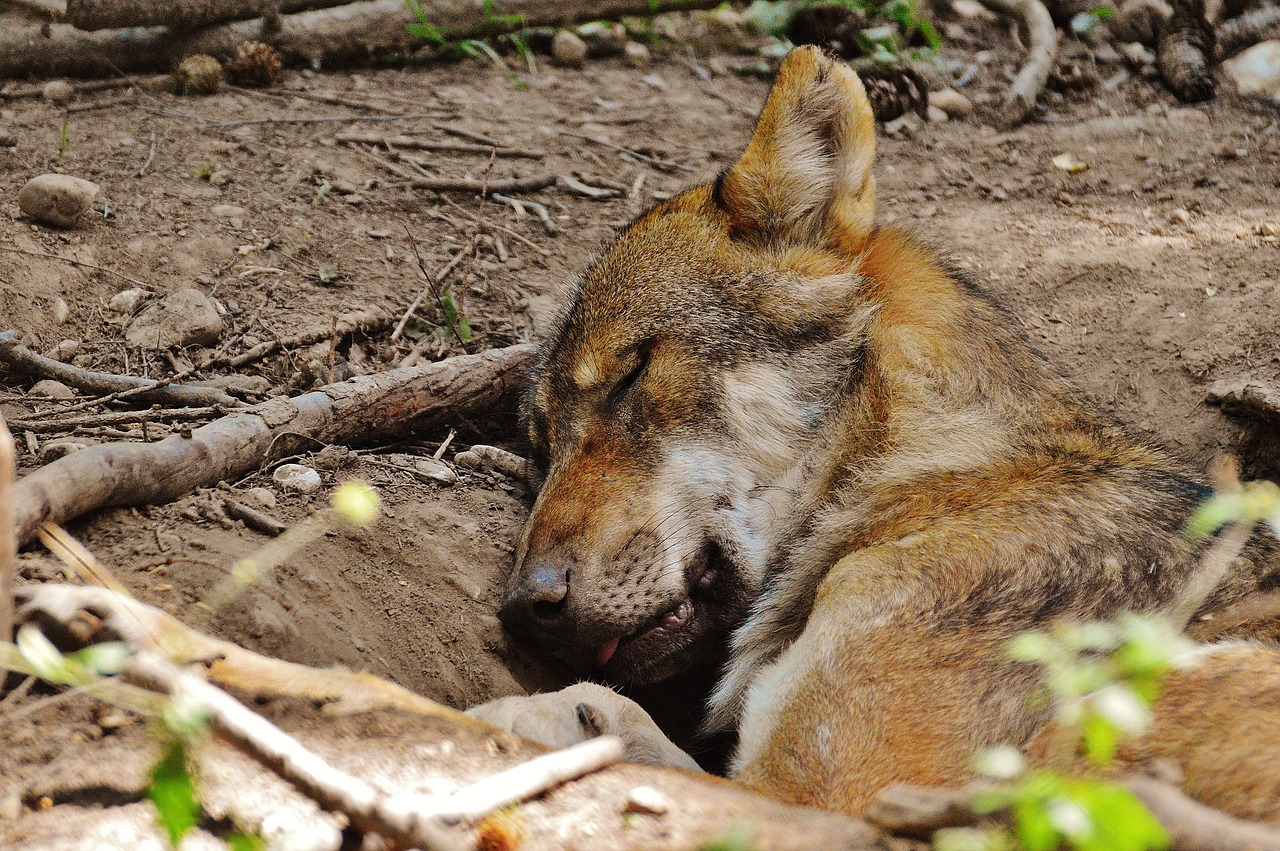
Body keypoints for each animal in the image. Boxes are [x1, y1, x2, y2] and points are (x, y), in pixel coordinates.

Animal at [481, 44, 1280, 819]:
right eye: (542, 445)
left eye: (631, 374)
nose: (525, 608)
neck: (931, 477)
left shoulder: (828, 795)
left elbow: (592, 710)